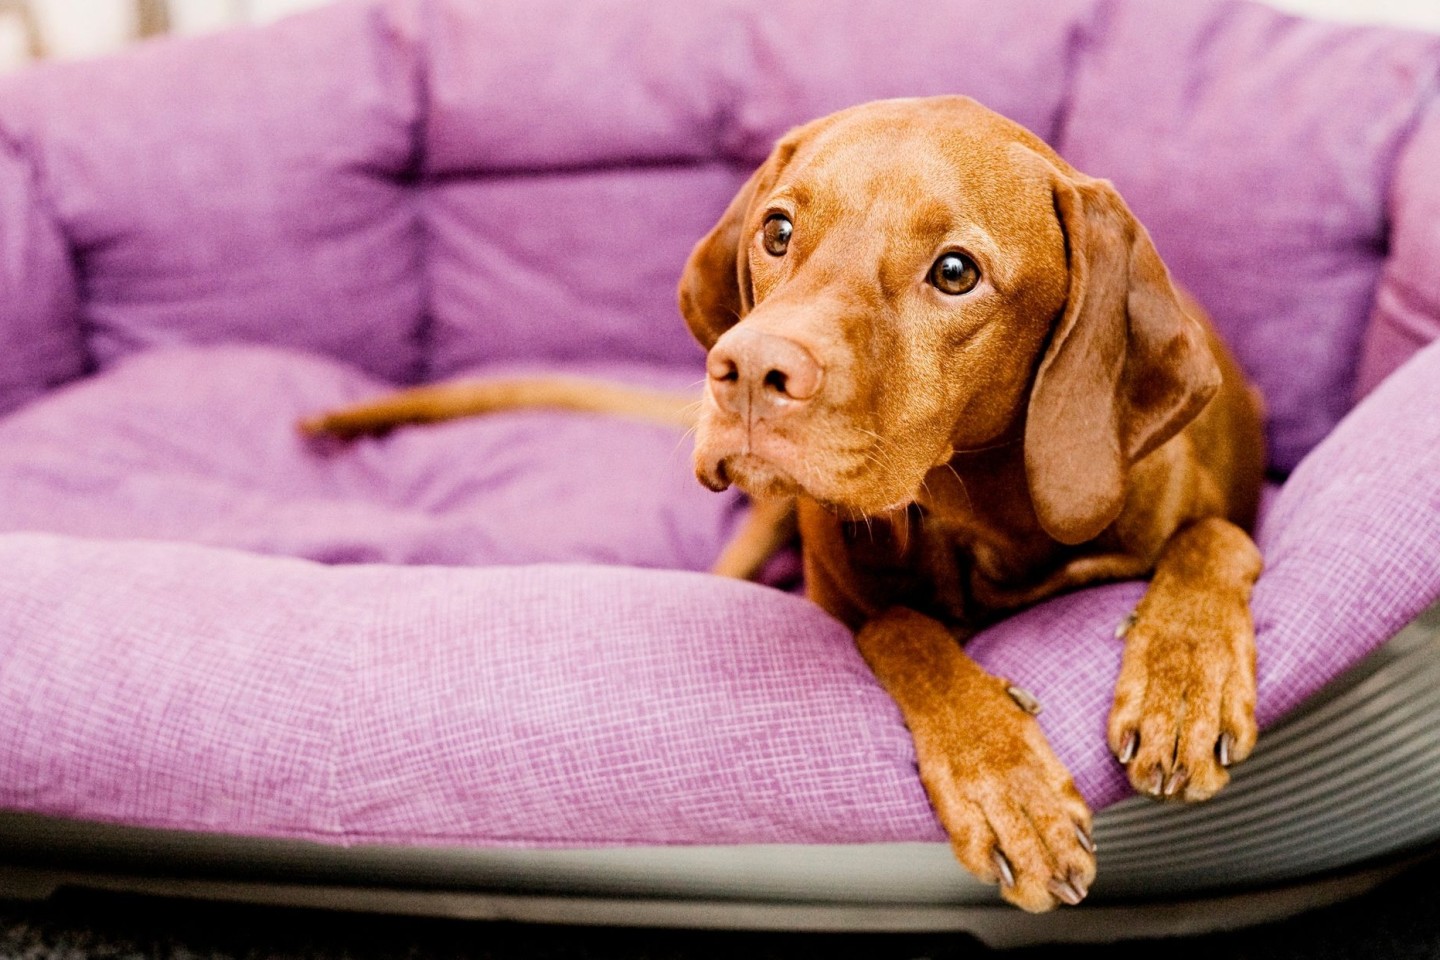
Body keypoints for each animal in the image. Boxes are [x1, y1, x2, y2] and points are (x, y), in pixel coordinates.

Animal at [303, 97, 1261, 915]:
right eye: (778, 230)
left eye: (956, 271)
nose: (747, 369)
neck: (984, 521)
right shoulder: (840, 590)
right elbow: (902, 629)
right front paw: (1005, 783)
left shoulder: (1212, 509)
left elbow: (1214, 540)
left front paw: (1184, 687)